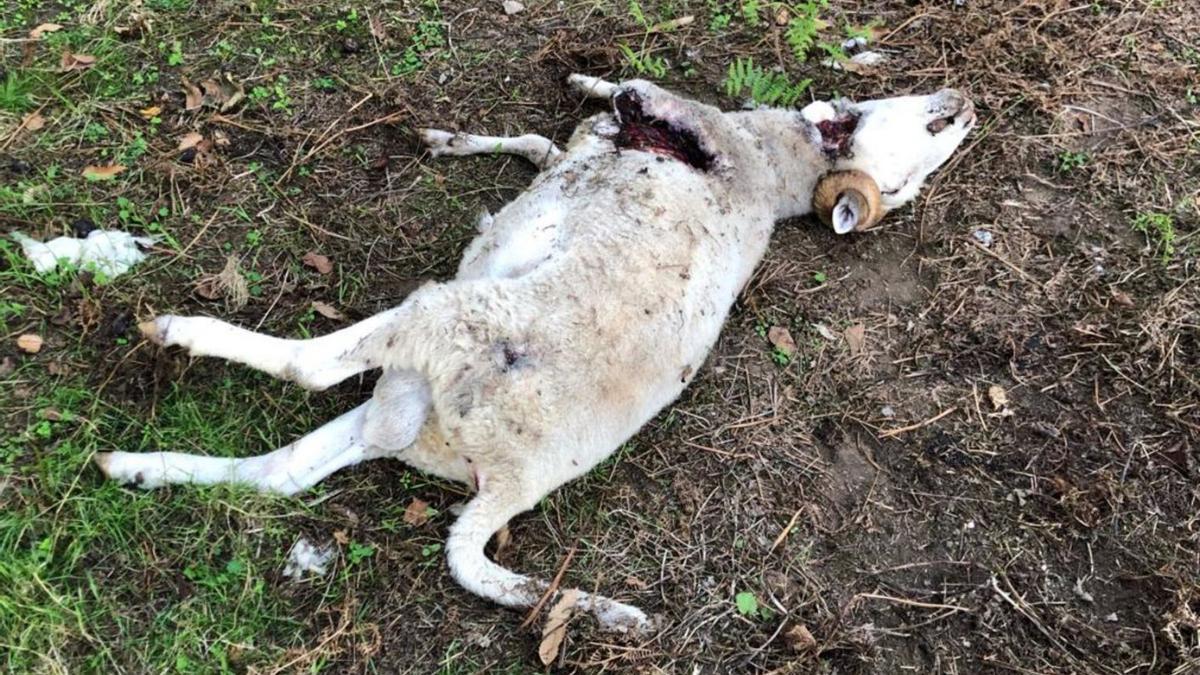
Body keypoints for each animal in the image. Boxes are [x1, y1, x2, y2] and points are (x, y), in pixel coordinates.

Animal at [93, 73, 974, 629]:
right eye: (934, 129)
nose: (962, 104)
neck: (778, 169)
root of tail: (507, 482)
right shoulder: (582, 150)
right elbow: (537, 143)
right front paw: (460, 134)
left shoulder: (689, 123)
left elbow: (633, 95)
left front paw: (603, 88)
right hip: (404, 416)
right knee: (278, 476)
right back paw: (135, 466)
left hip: (445, 321)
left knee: (310, 370)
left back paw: (173, 334)